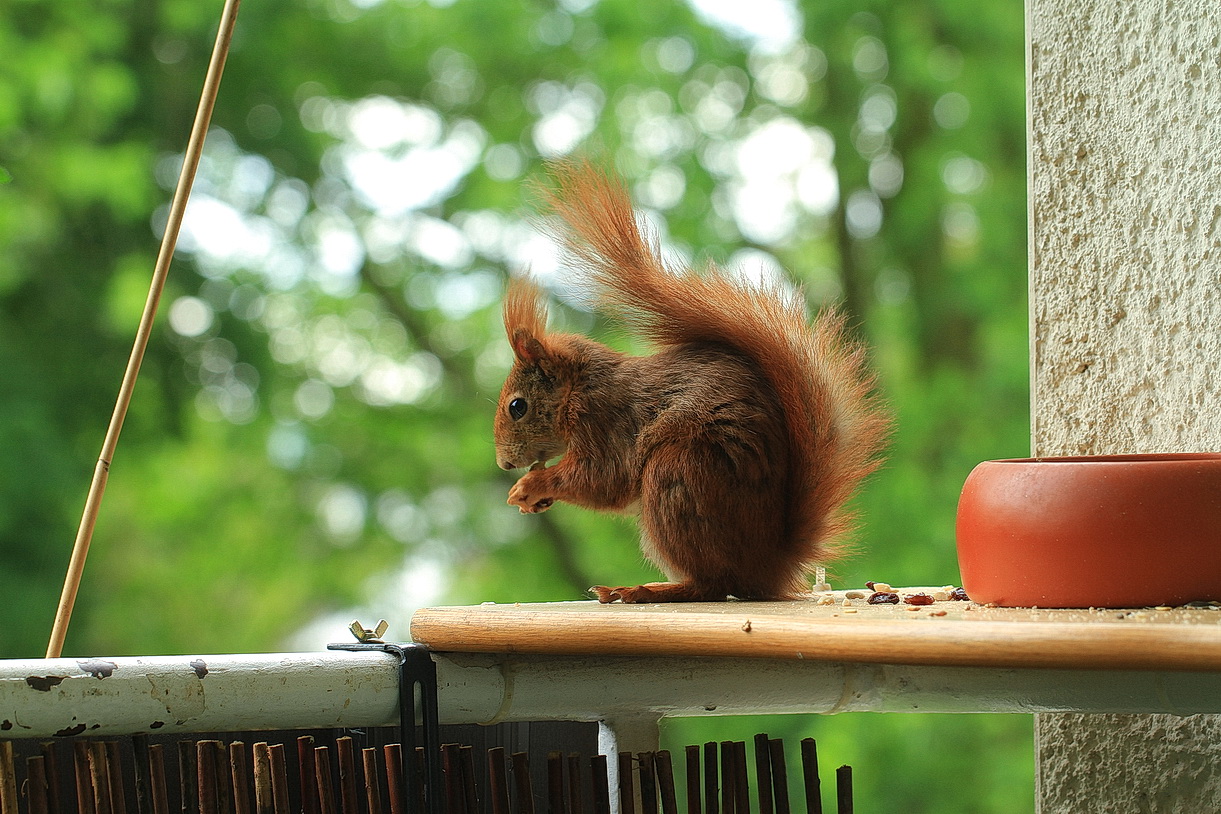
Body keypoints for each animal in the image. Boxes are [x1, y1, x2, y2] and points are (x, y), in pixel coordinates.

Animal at [493, 161, 888, 605]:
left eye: (517, 406)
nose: (504, 463)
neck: (579, 387)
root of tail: (768, 566)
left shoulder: (605, 422)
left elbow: (602, 480)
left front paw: (531, 484)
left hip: (677, 477)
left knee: (715, 584)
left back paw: (643, 589)